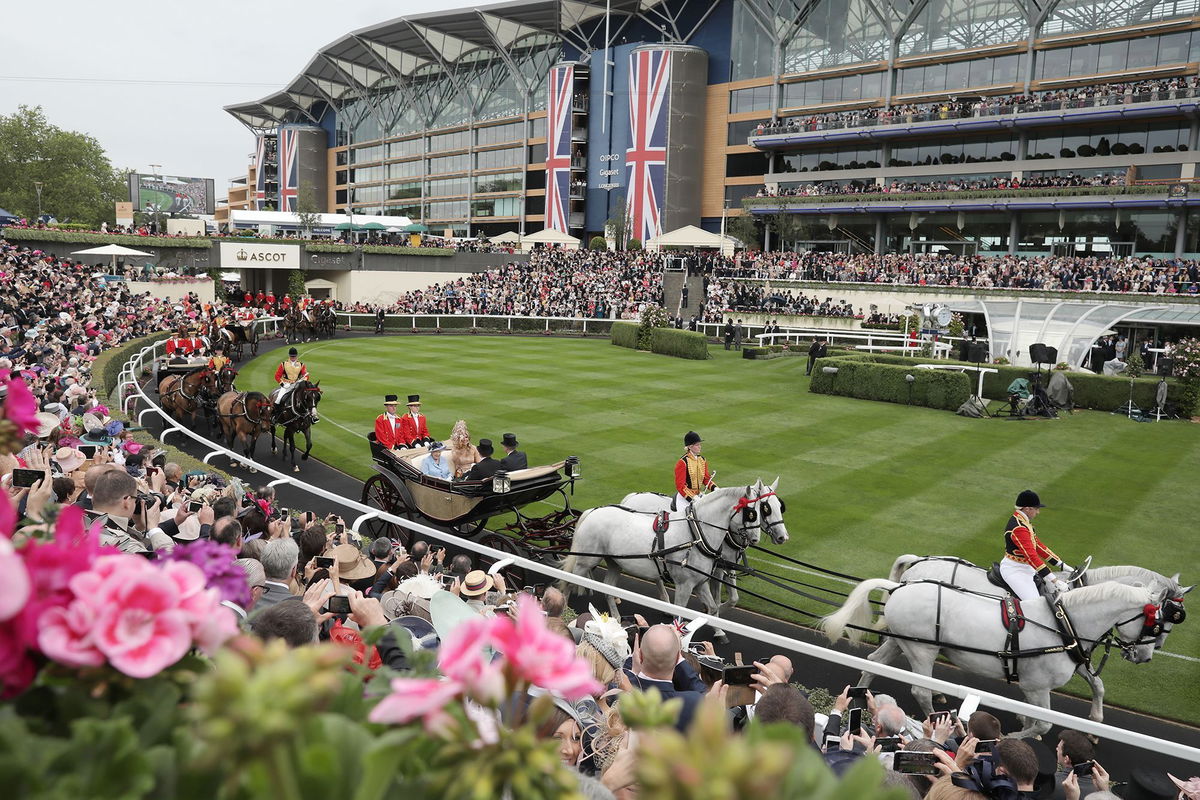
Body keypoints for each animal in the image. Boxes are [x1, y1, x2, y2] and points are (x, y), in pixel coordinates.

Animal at [561, 479, 787, 642]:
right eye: (756, 511)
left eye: (777, 507)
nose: (782, 537)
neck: (697, 535)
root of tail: (594, 510)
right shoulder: (686, 585)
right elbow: (681, 614)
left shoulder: (702, 581)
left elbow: (715, 605)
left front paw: (716, 625)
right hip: (586, 561)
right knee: (569, 580)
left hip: (615, 562)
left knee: (608, 588)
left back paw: (616, 617)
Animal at [820, 578, 1166, 743]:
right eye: (1155, 624)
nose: (1146, 656)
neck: (1062, 624)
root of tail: (899, 587)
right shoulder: (1038, 686)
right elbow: (1044, 723)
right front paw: (1013, 736)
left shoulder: (1036, 684)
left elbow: (1090, 688)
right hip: (921, 651)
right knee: (921, 691)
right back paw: (937, 725)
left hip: (899, 641)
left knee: (874, 661)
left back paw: (863, 699)